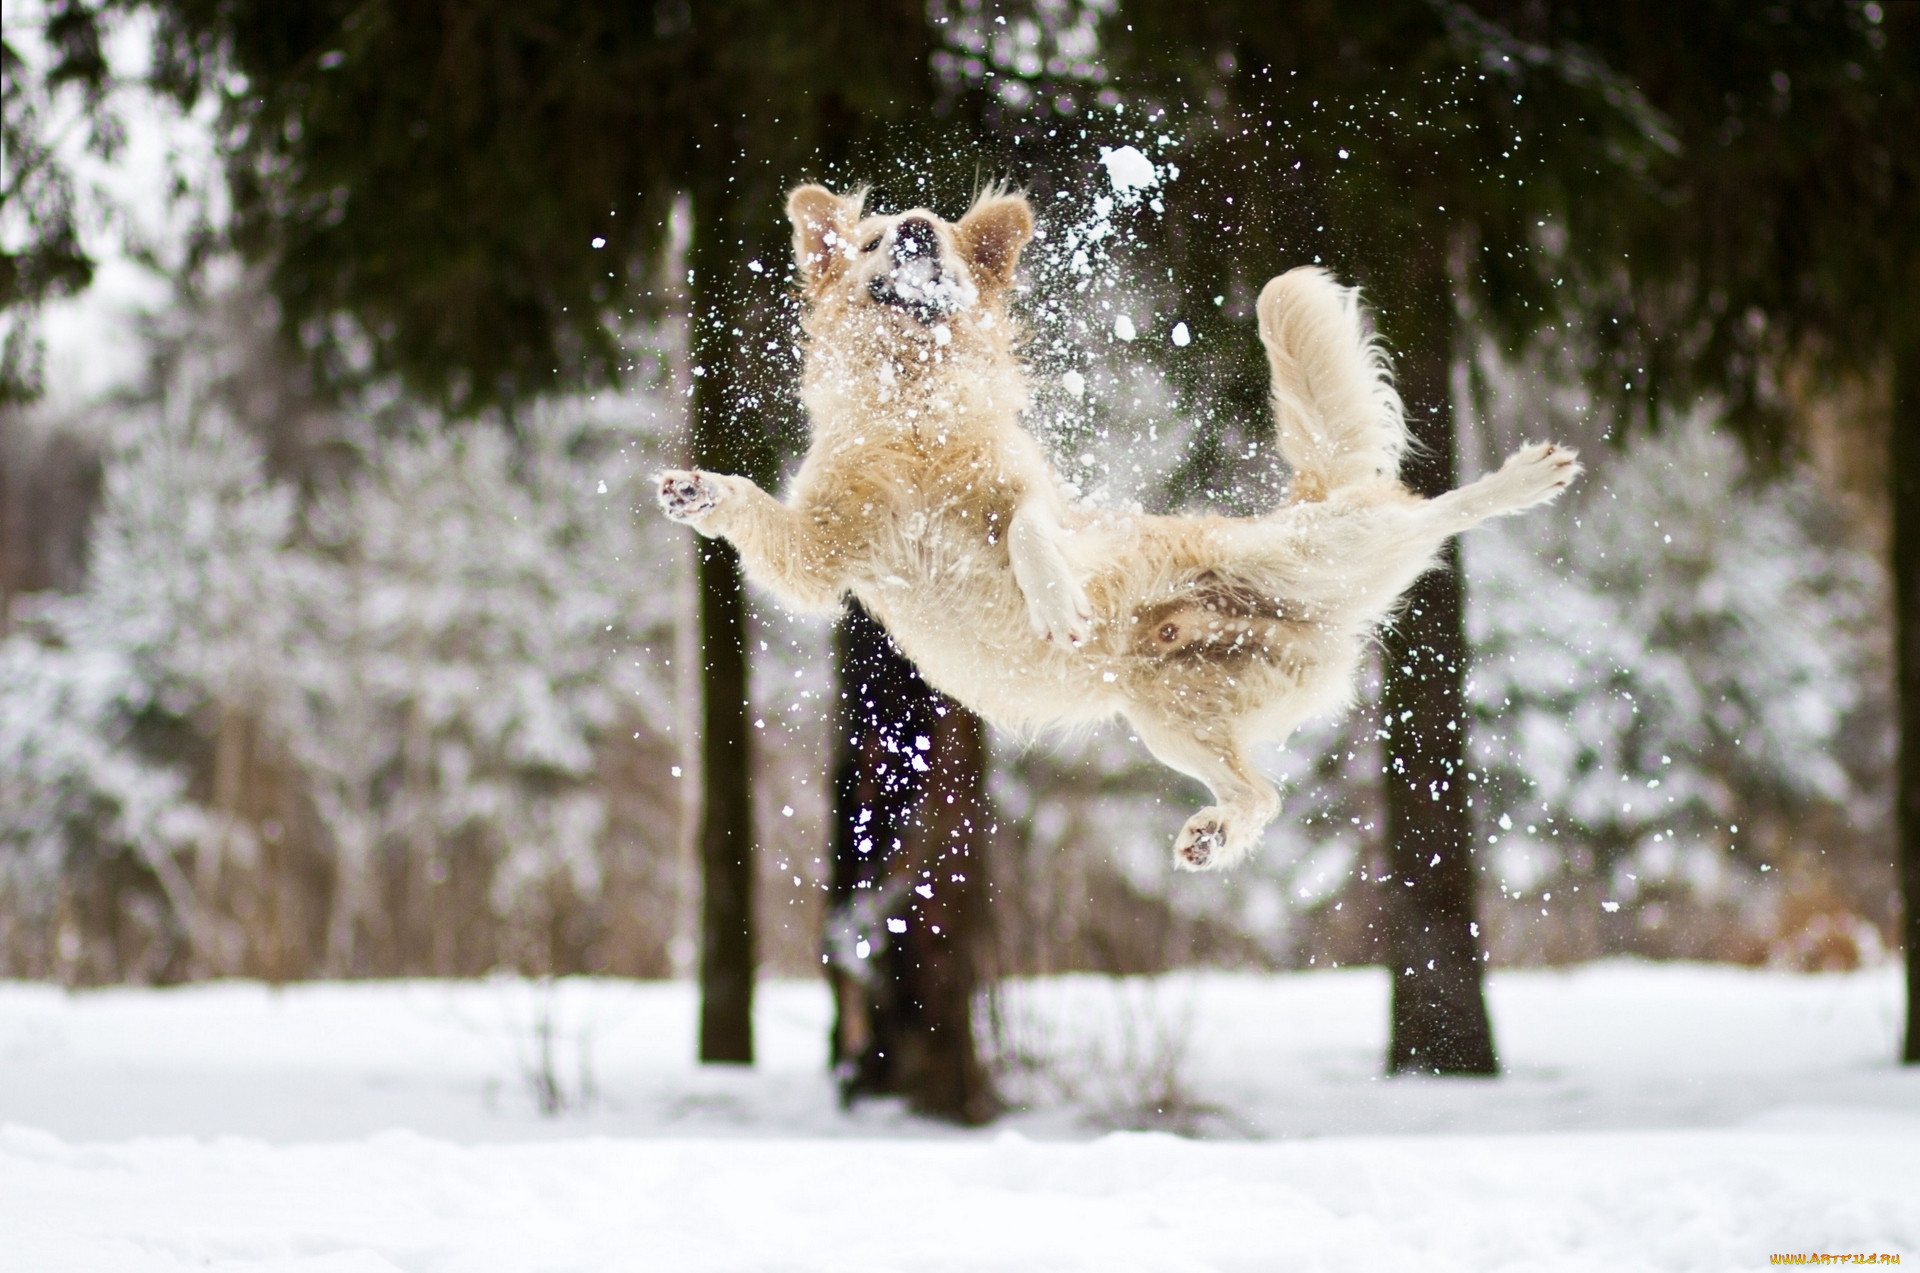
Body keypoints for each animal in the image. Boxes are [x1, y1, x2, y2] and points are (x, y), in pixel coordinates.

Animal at [660, 184, 1574, 871]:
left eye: (941, 235)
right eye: (875, 237)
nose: (917, 228)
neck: (914, 407)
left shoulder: (1031, 495)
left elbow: (1029, 531)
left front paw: (1058, 603)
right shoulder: (819, 556)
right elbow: (755, 511)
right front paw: (699, 490)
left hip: (1305, 551)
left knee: (1425, 509)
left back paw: (1528, 476)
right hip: (1166, 717)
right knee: (1262, 792)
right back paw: (1213, 834)